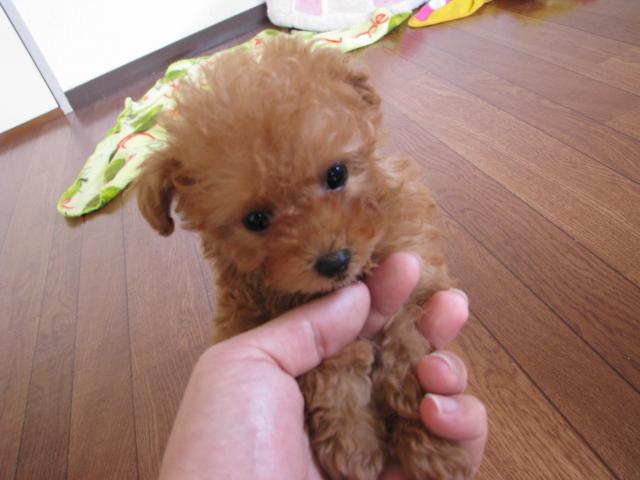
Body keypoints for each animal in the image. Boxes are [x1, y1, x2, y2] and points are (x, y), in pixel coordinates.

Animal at [136, 36, 471, 480]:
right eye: (256, 220)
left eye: (337, 175)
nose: (334, 261)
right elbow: (332, 371)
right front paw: (354, 447)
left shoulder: (415, 267)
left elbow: (408, 338)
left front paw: (432, 442)